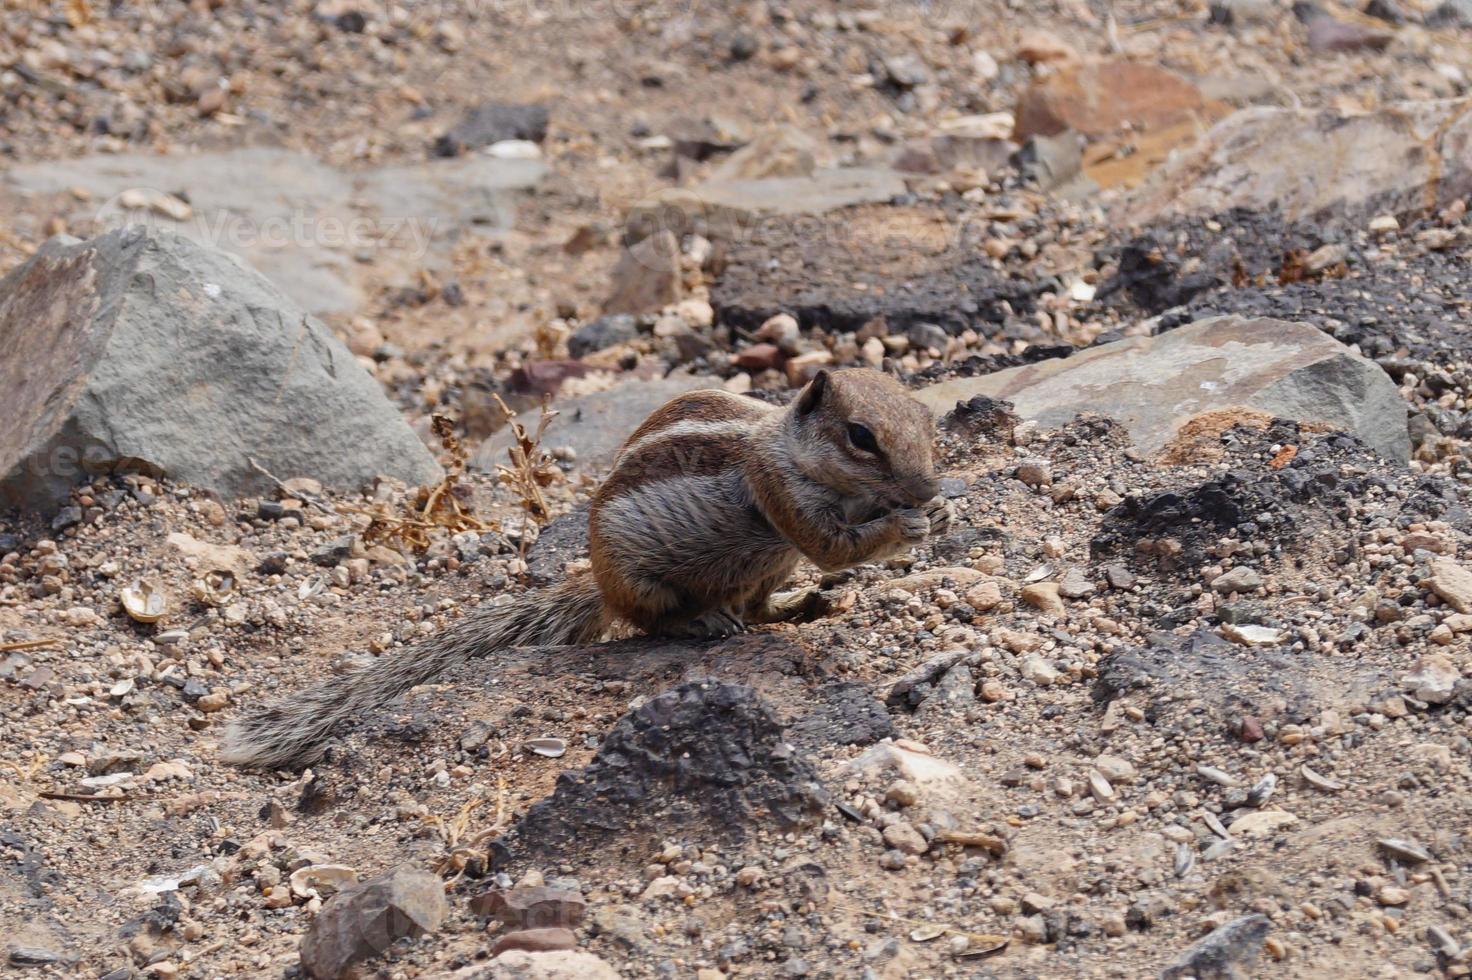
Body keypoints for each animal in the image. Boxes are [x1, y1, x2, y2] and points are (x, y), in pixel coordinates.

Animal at [222, 364, 947, 765]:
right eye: (860, 437)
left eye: (927, 424)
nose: (928, 489)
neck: (791, 447)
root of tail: (595, 581)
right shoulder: (780, 494)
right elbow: (831, 544)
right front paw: (905, 526)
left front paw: (929, 516)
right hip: (642, 580)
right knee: (651, 621)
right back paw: (700, 623)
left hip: (771, 567)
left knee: (761, 605)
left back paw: (802, 606)